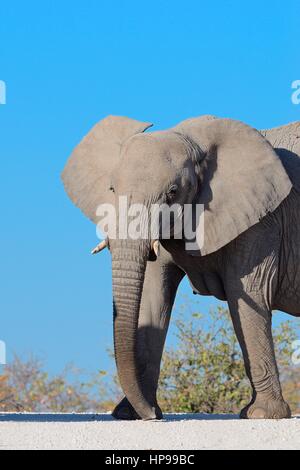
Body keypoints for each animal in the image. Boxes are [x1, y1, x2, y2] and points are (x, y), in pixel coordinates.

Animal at [62, 114, 300, 422]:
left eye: (173, 193)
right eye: (112, 189)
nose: (152, 415)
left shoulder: (262, 220)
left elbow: (248, 295)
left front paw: (261, 415)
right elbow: (153, 299)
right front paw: (132, 414)